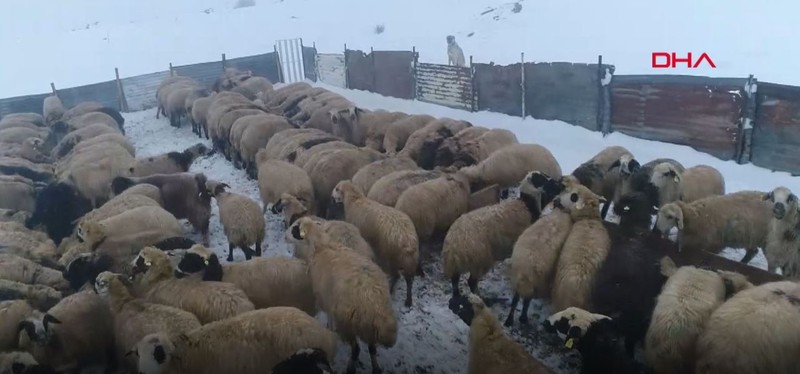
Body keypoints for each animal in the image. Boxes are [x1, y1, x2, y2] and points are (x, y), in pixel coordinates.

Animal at [174, 245, 316, 316]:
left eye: (193, 260)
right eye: (185, 255)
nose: (178, 268)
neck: (221, 274)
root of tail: (305, 266)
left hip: (303, 303)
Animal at [290, 216, 396, 374]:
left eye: (298, 227)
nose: (291, 230)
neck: (322, 245)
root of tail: (373, 302)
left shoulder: (325, 297)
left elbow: (328, 315)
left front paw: (329, 327)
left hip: (347, 323)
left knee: (356, 349)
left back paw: (350, 368)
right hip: (368, 328)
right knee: (372, 348)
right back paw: (376, 368)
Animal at [440, 169, 560, 300]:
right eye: (541, 180)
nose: (558, 184)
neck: (527, 205)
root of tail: (453, 247)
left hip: (462, 266)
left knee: (455, 282)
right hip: (480, 260)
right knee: (471, 282)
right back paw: (482, 298)